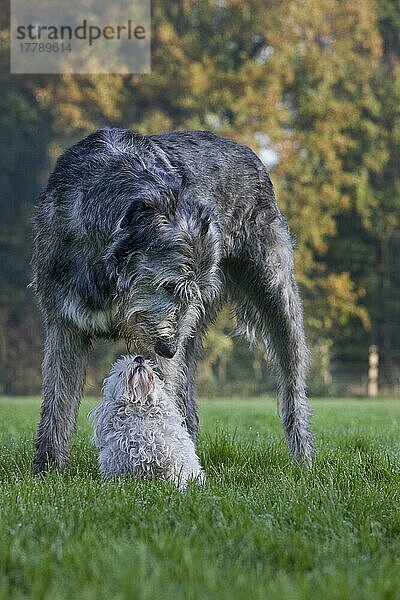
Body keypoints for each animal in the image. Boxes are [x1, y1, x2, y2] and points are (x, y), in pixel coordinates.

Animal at [30, 126, 312, 474]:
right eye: (169, 285)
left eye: (194, 290)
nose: (168, 347)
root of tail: (249, 152)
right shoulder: (64, 320)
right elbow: (57, 403)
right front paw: (47, 470)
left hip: (274, 296)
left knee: (292, 384)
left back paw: (303, 458)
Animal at [89, 356, 205, 488]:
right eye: (120, 373)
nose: (139, 358)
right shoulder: (118, 463)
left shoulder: (172, 458)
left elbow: (175, 475)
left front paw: (179, 487)